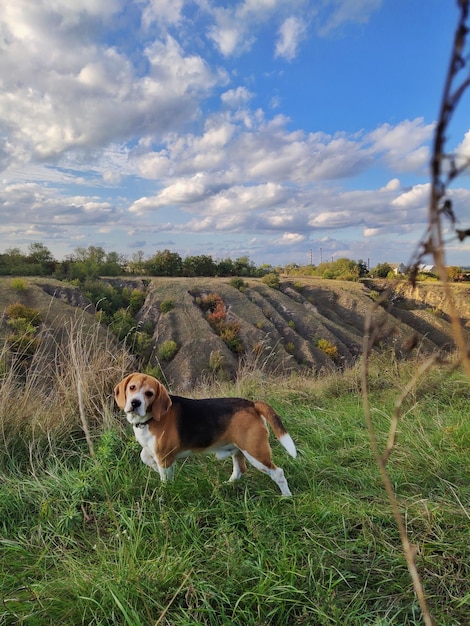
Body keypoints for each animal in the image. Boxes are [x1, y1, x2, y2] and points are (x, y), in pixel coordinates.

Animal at [114, 370, 296, 498]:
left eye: (149, 393)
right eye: (132, 387)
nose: (135, 403)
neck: (150, 419)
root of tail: (252, 404)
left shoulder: (164, 456)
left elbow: (165, 478)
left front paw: (164, 493)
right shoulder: (155, 452)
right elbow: (144, 456)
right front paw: (154, 466)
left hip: (255, 452)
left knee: (278, 473)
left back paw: (286, 497)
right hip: (239, 449)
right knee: (240, 470)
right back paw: (227, 484)